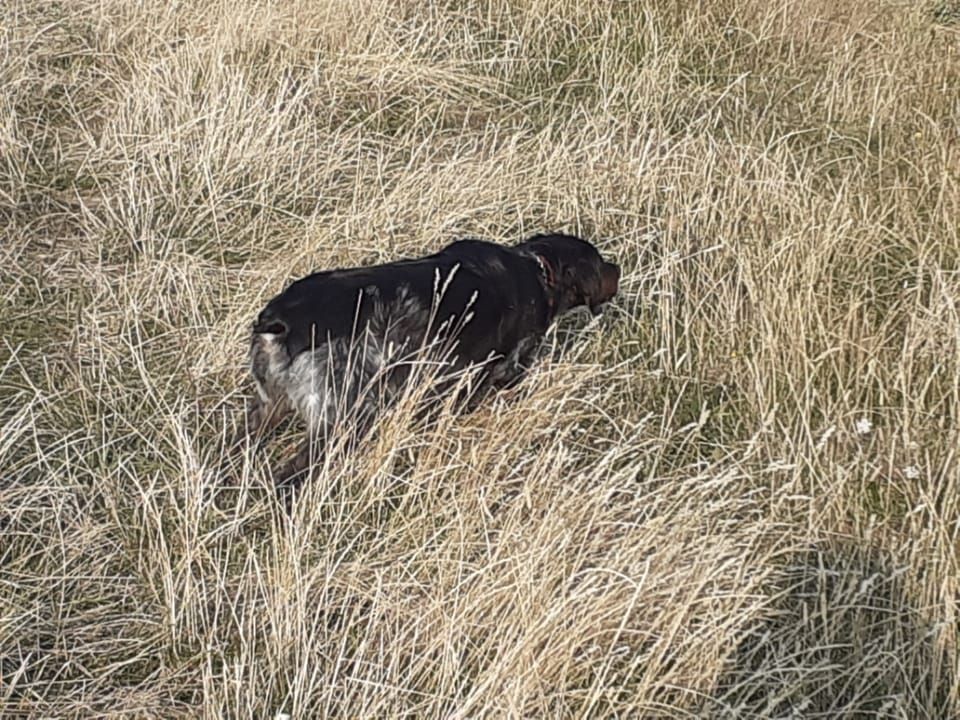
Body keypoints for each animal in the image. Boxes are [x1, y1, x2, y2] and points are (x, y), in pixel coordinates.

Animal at [242, 233, 624, 492]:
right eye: (600, 262)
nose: (617, 267)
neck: (536, 272)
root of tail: (280, 321)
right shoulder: (495, 371)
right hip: (344, 415)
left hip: (266, 408)